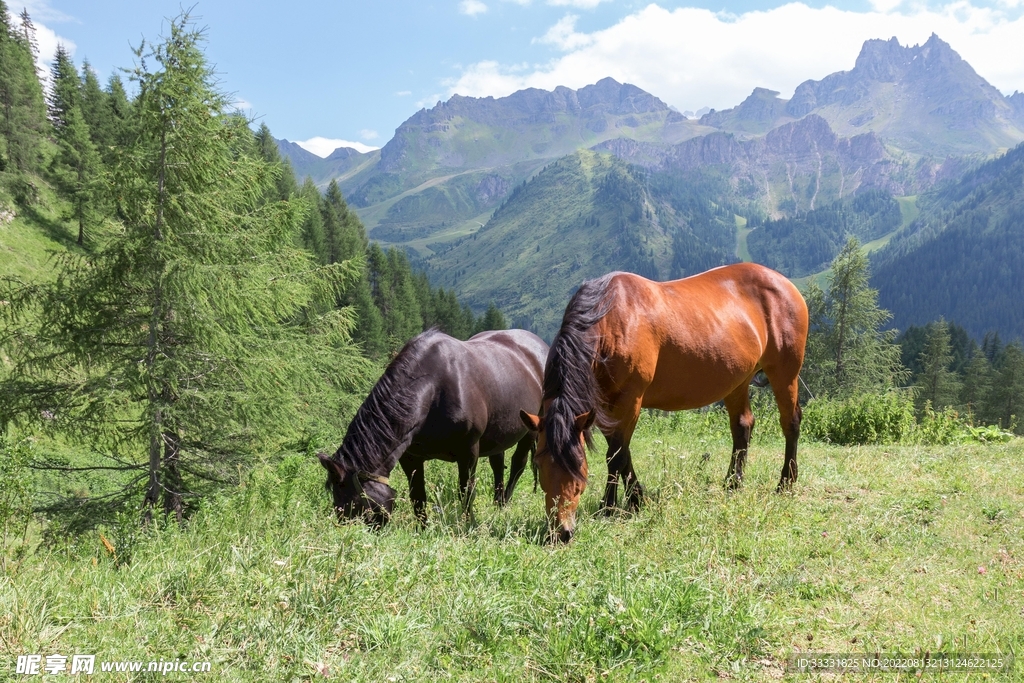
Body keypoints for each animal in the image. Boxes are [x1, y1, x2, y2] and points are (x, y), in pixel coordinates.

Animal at [318, 327, 548, 528]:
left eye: (353, 504)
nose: (352, 532)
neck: (434, 390)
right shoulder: (410, 457)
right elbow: (417, 495)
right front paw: (422, 528)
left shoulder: (468, 451)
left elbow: (466, 491)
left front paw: (467, 526)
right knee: (498, 464)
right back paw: (498, 503)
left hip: (530, 428)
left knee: (517, 464)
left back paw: (504, 503)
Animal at [519, 263, 808, 542]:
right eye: (539, 466)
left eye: (579, 464)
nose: (561, 531)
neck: (610, 321)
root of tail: (786, 285)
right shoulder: (602, 409)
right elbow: (623, 453)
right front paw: (636, 499)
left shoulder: (630, 400)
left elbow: (616, 455)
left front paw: (608, 507)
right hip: (738, 381)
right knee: (742, 426)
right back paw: (733, 483)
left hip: (785, 373)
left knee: (790, 423)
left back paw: (785, 483)